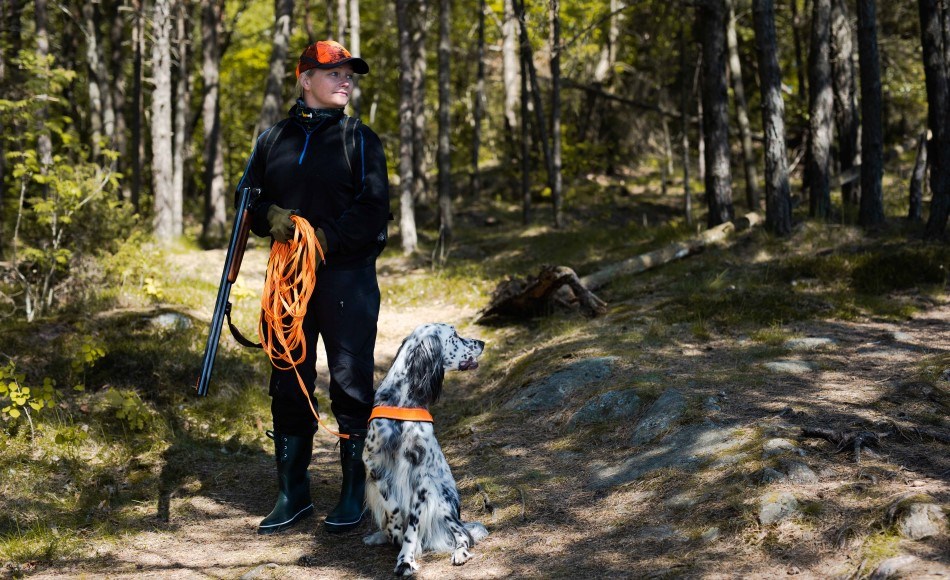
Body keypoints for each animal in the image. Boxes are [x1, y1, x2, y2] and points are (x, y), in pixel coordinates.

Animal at [362, 323, 488, 576]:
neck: (403, 403)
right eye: (455, 336)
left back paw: (460, 553)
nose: (481, 343)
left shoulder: (421, 477)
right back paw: (380, 536)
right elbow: (393, 508)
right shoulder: (373, 466)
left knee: (463, 535)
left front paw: (406, 560)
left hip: (443, 502)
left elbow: (412, 526)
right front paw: (395, 531)